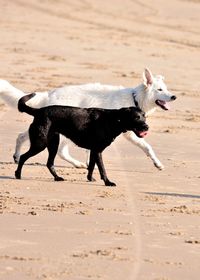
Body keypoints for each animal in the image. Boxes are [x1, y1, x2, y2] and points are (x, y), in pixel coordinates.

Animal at [0, 68, 175, 170]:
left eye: (166, 89)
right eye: (160, 90)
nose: (174, 96)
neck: (135, 98)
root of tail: (49, 94)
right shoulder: (130, 133)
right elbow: (147, 147)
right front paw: (158, 163)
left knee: (22, 136)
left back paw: (17, 156)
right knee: (61, 151)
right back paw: (76, 164)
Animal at [14, 93, 148, 187]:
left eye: (144, 117)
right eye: (136, 117)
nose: (147, 127)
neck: (114, 120)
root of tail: (38, 111)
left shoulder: (94, 151)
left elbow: (92, 166)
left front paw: (90, 178)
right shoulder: (98, 151)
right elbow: (102, 169)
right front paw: (108, 182)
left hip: (53, 143)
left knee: (49, 163)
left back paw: (57, 178)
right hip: (40, 143)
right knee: (23, 157)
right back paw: (18, 174)